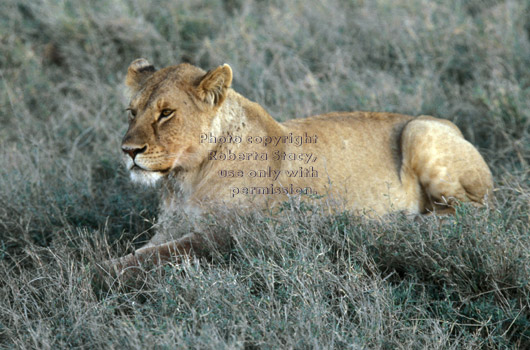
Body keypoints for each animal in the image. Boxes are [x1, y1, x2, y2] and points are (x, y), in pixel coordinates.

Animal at [103, 58, 490, 274]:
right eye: (131, 112)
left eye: (166, 113)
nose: (128, 150)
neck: (186, 178)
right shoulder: (168, 229)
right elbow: (146, 251)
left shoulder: (225, 236)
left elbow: (156, 256)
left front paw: (101, 273)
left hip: (419, 130)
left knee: (475, 215)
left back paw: (400, 225)